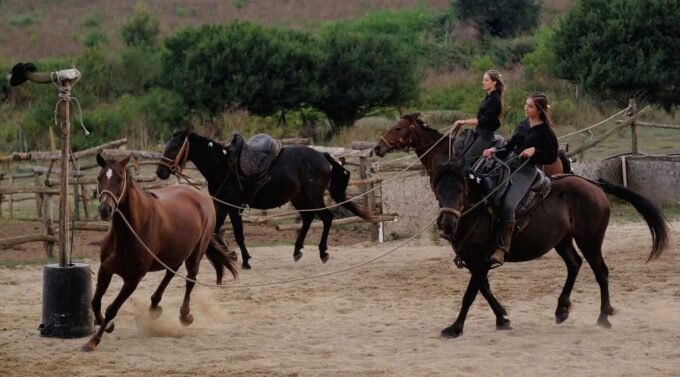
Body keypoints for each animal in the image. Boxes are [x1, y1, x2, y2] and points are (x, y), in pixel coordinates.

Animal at [155, 129, 372, 268]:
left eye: (174, 147)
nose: (160, 172)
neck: (223, 166)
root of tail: (323, 156)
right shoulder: (221, 206)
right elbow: (216, 231)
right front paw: (231, 254)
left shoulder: (233, 208)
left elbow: (239, 235)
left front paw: (245, 259)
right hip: (300, 198)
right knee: (308, 219)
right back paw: (297, 251)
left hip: (313, 196)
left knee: (326, 218)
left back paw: (323, 252)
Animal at [374, 113, 668, 336]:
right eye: (437, 190)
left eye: (398, 127)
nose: (378, 147)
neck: (475, 207)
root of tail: (593, 185)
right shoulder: (471, 258)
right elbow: (483, 288)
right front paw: (502, 318)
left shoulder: (480, 258)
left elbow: (471, 292)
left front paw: (455, 328)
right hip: (562, 240)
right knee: (574, 264)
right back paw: (561, 310)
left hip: (590, 240)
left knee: (601, 271)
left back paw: (604, 317)